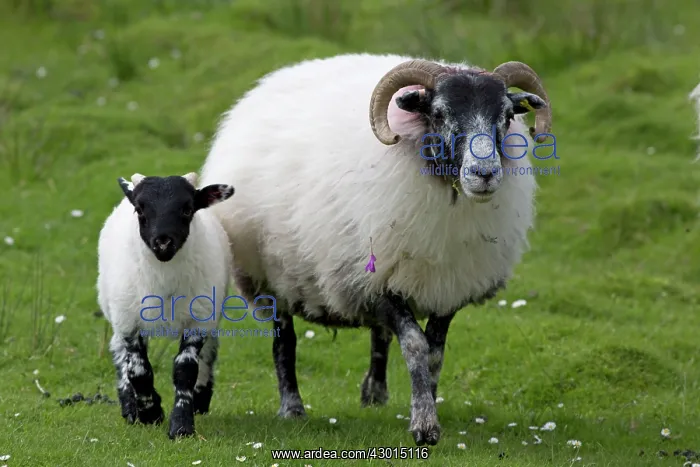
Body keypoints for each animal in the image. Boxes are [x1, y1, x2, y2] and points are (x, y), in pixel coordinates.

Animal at [96, 172, 235, 439]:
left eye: (187, 209)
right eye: (140, 209)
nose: (162, 242)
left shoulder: (199, 318)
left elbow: (185, 370)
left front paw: (181, 425)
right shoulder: (129, 321)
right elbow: (138, 371)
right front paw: (151, 414)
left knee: (210, 350)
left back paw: (200, 399)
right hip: (117, 309)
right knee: (118, 351)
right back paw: (130, 407)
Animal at [199, 53, 553, 446]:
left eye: (506, 115)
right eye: (439, 113)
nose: (484, 173)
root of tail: (274, 79)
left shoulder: (449, 286)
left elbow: (434, 354)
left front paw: (426, 405)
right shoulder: (378, 282)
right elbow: (415, 346)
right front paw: (424, 426)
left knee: (379, 336)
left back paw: (375, 395)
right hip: (272, 274)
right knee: (284, 341)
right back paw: (292, 408)